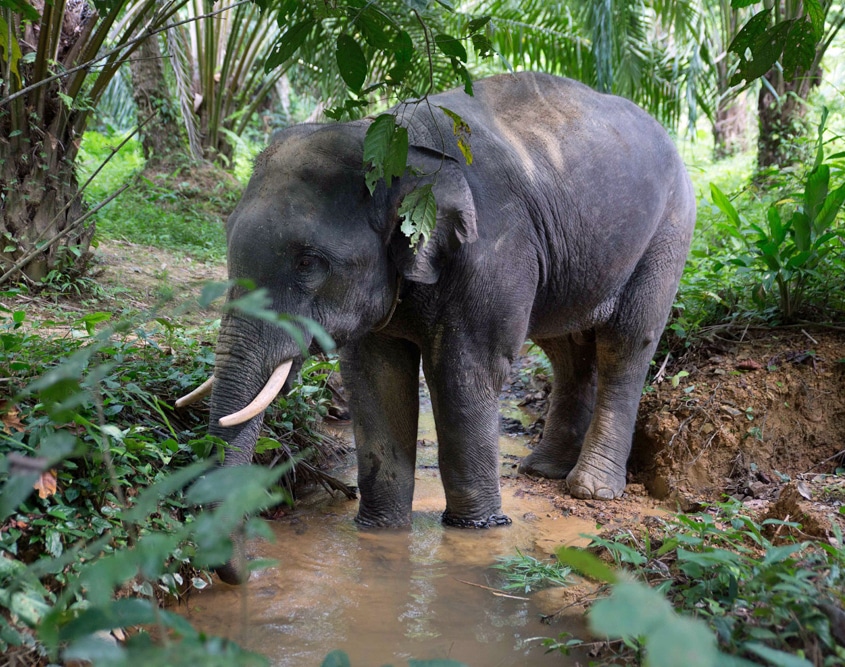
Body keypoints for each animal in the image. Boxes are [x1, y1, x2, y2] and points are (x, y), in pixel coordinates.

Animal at [177, 72, 696, 584]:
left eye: (308, 262)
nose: (246, 570)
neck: (392, 140)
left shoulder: (493, 250)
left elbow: (464, 374)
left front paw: (478, 529)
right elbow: (375, 377)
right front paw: (379, 530)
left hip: (670, 231)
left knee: (627, 343)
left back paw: (590, 489)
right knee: (564, 350)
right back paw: (543, 470)